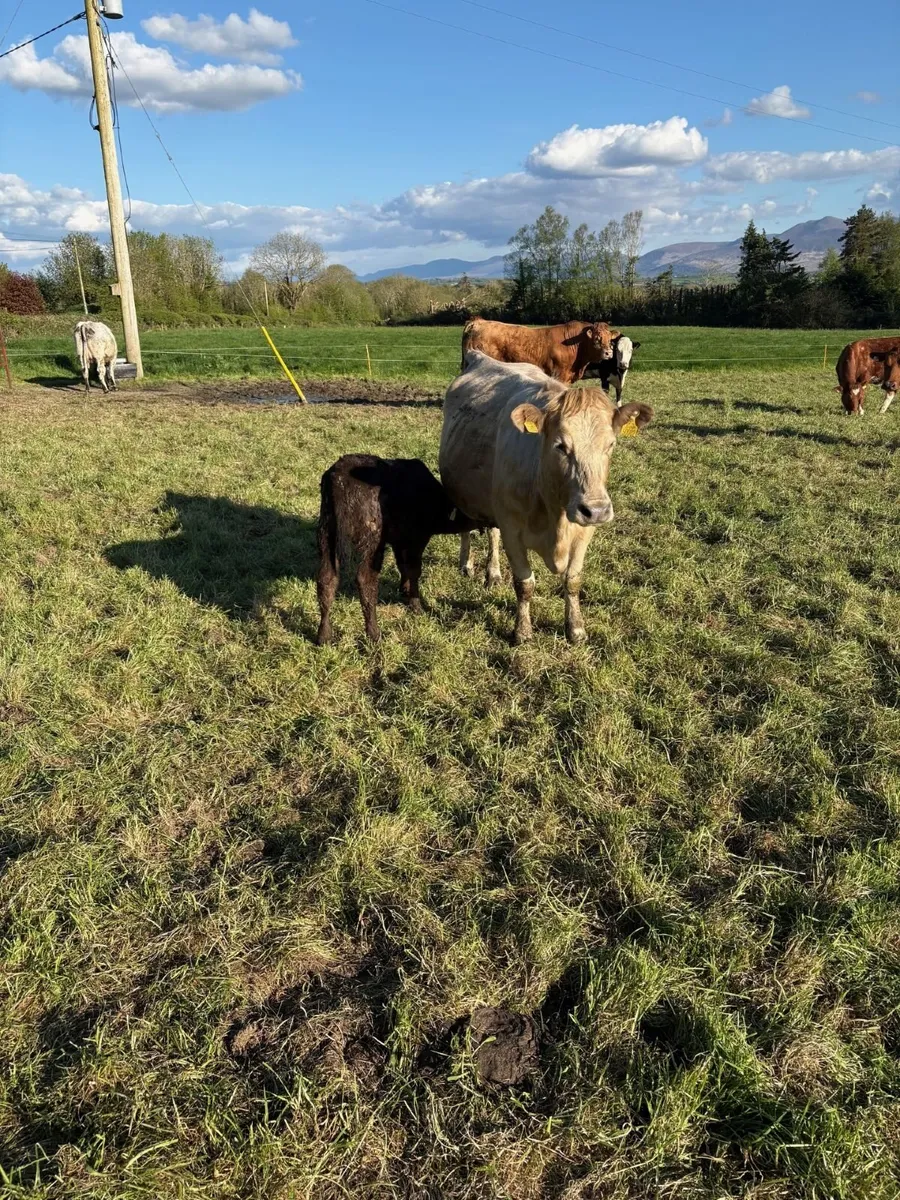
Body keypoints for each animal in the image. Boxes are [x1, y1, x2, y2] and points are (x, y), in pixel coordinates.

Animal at [316, 454, 479, 645]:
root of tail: (339, 479)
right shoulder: (417, 540)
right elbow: (414, 570)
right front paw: (415, 605)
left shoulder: (399, 541)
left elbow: (402, 566)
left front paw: (404, 590)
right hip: (372, 543)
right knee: (365, 580)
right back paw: (374, 633)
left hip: (326, 534)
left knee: (326, 579)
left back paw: (324, 635)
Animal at [439, 351, 653, 645]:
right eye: (560, 446)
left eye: (610, 444)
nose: (597, 510)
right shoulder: (512, 529)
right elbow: (524, 584)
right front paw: (522, 631)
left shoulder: (584, 531)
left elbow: (573, 581)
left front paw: (576, 629)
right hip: (461, 492)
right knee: (466, 528)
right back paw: (466, 565)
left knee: (492, 533)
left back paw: (493, 574)